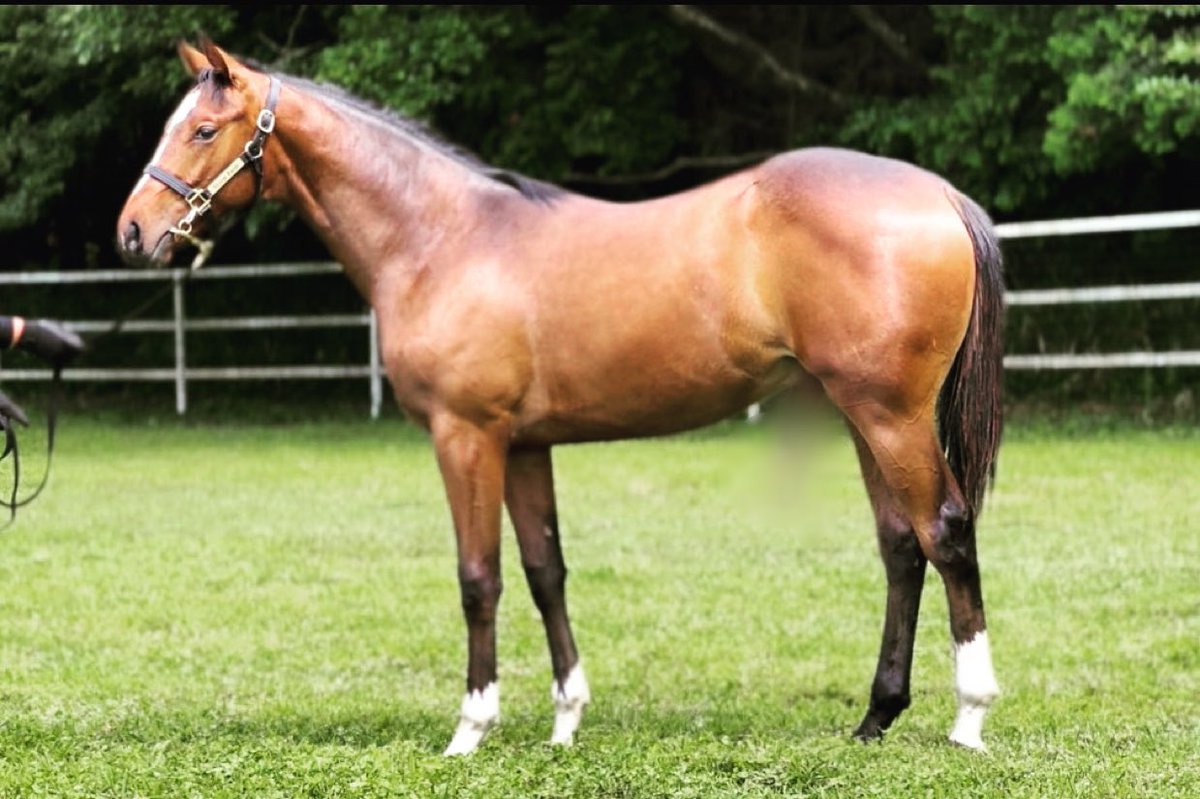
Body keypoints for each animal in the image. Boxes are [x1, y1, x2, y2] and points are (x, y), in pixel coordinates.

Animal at [116, 39, 1004, 756]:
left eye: (203, 131)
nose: (132, 231)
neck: (442, 238)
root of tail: (941, 196)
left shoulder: (465, 436)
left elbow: (479, 576)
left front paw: (470, 727)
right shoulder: (524, 444)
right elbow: (546, 570)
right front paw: (566, 718)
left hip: (890, 415)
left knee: (945, 530)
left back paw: (969, 715)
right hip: (861, 414)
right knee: (901, 547)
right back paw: (876, 716)